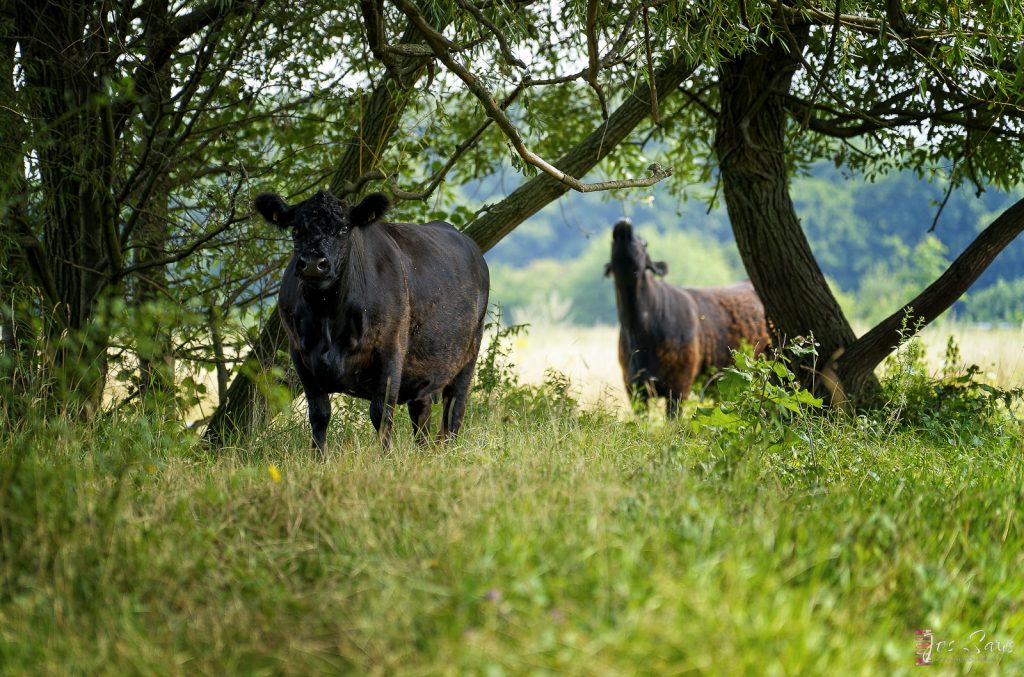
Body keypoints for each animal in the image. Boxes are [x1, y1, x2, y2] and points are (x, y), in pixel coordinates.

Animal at [258, 188, 493, 448]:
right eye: (296, 230)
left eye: (343, 229)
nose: (312, 264)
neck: (327, 314)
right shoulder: (300, 355)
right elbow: (319, 414)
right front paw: (317, 455)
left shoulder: (389, 350)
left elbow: (381, 413)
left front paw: (385, 455)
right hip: (424, 367)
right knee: (421, 416)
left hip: (468, 354)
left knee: (454, 409)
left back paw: (449, 448)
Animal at [602, 219, 765, 413]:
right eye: (611, 242)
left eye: (644, 243)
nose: (623, 224)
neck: (640, 329)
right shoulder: (633, 386)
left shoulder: (679, 385)